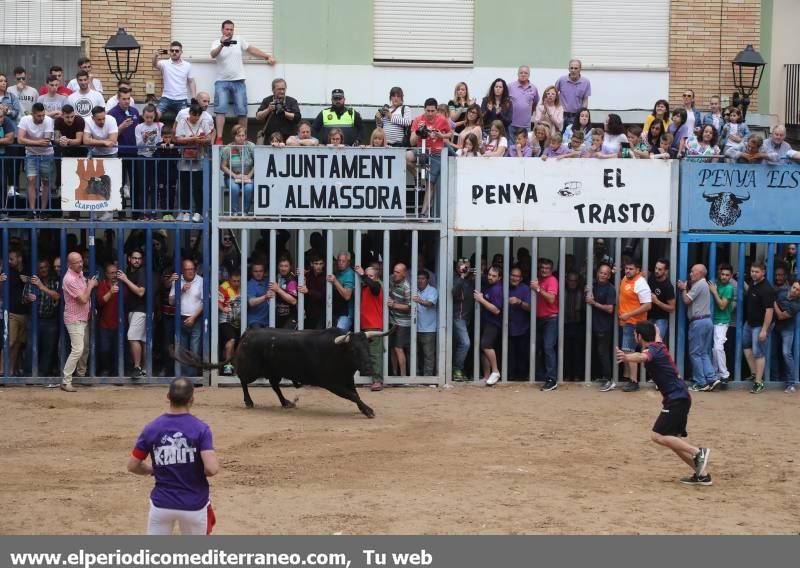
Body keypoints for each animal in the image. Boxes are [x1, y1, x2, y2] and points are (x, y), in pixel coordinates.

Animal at [172, 326, 394, 420]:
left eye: (367, 346)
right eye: (354, 349)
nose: (368, 368)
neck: (339, 352)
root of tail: (247, 333)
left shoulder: (346, 379)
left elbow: (355, 394)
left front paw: (364, 409)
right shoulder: (332, 383)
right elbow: (352, 395)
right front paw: (368, 411)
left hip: (274, 371)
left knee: (274, 385)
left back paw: (286, 402)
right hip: (252, 369)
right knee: (243, 379)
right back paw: (249, 402)